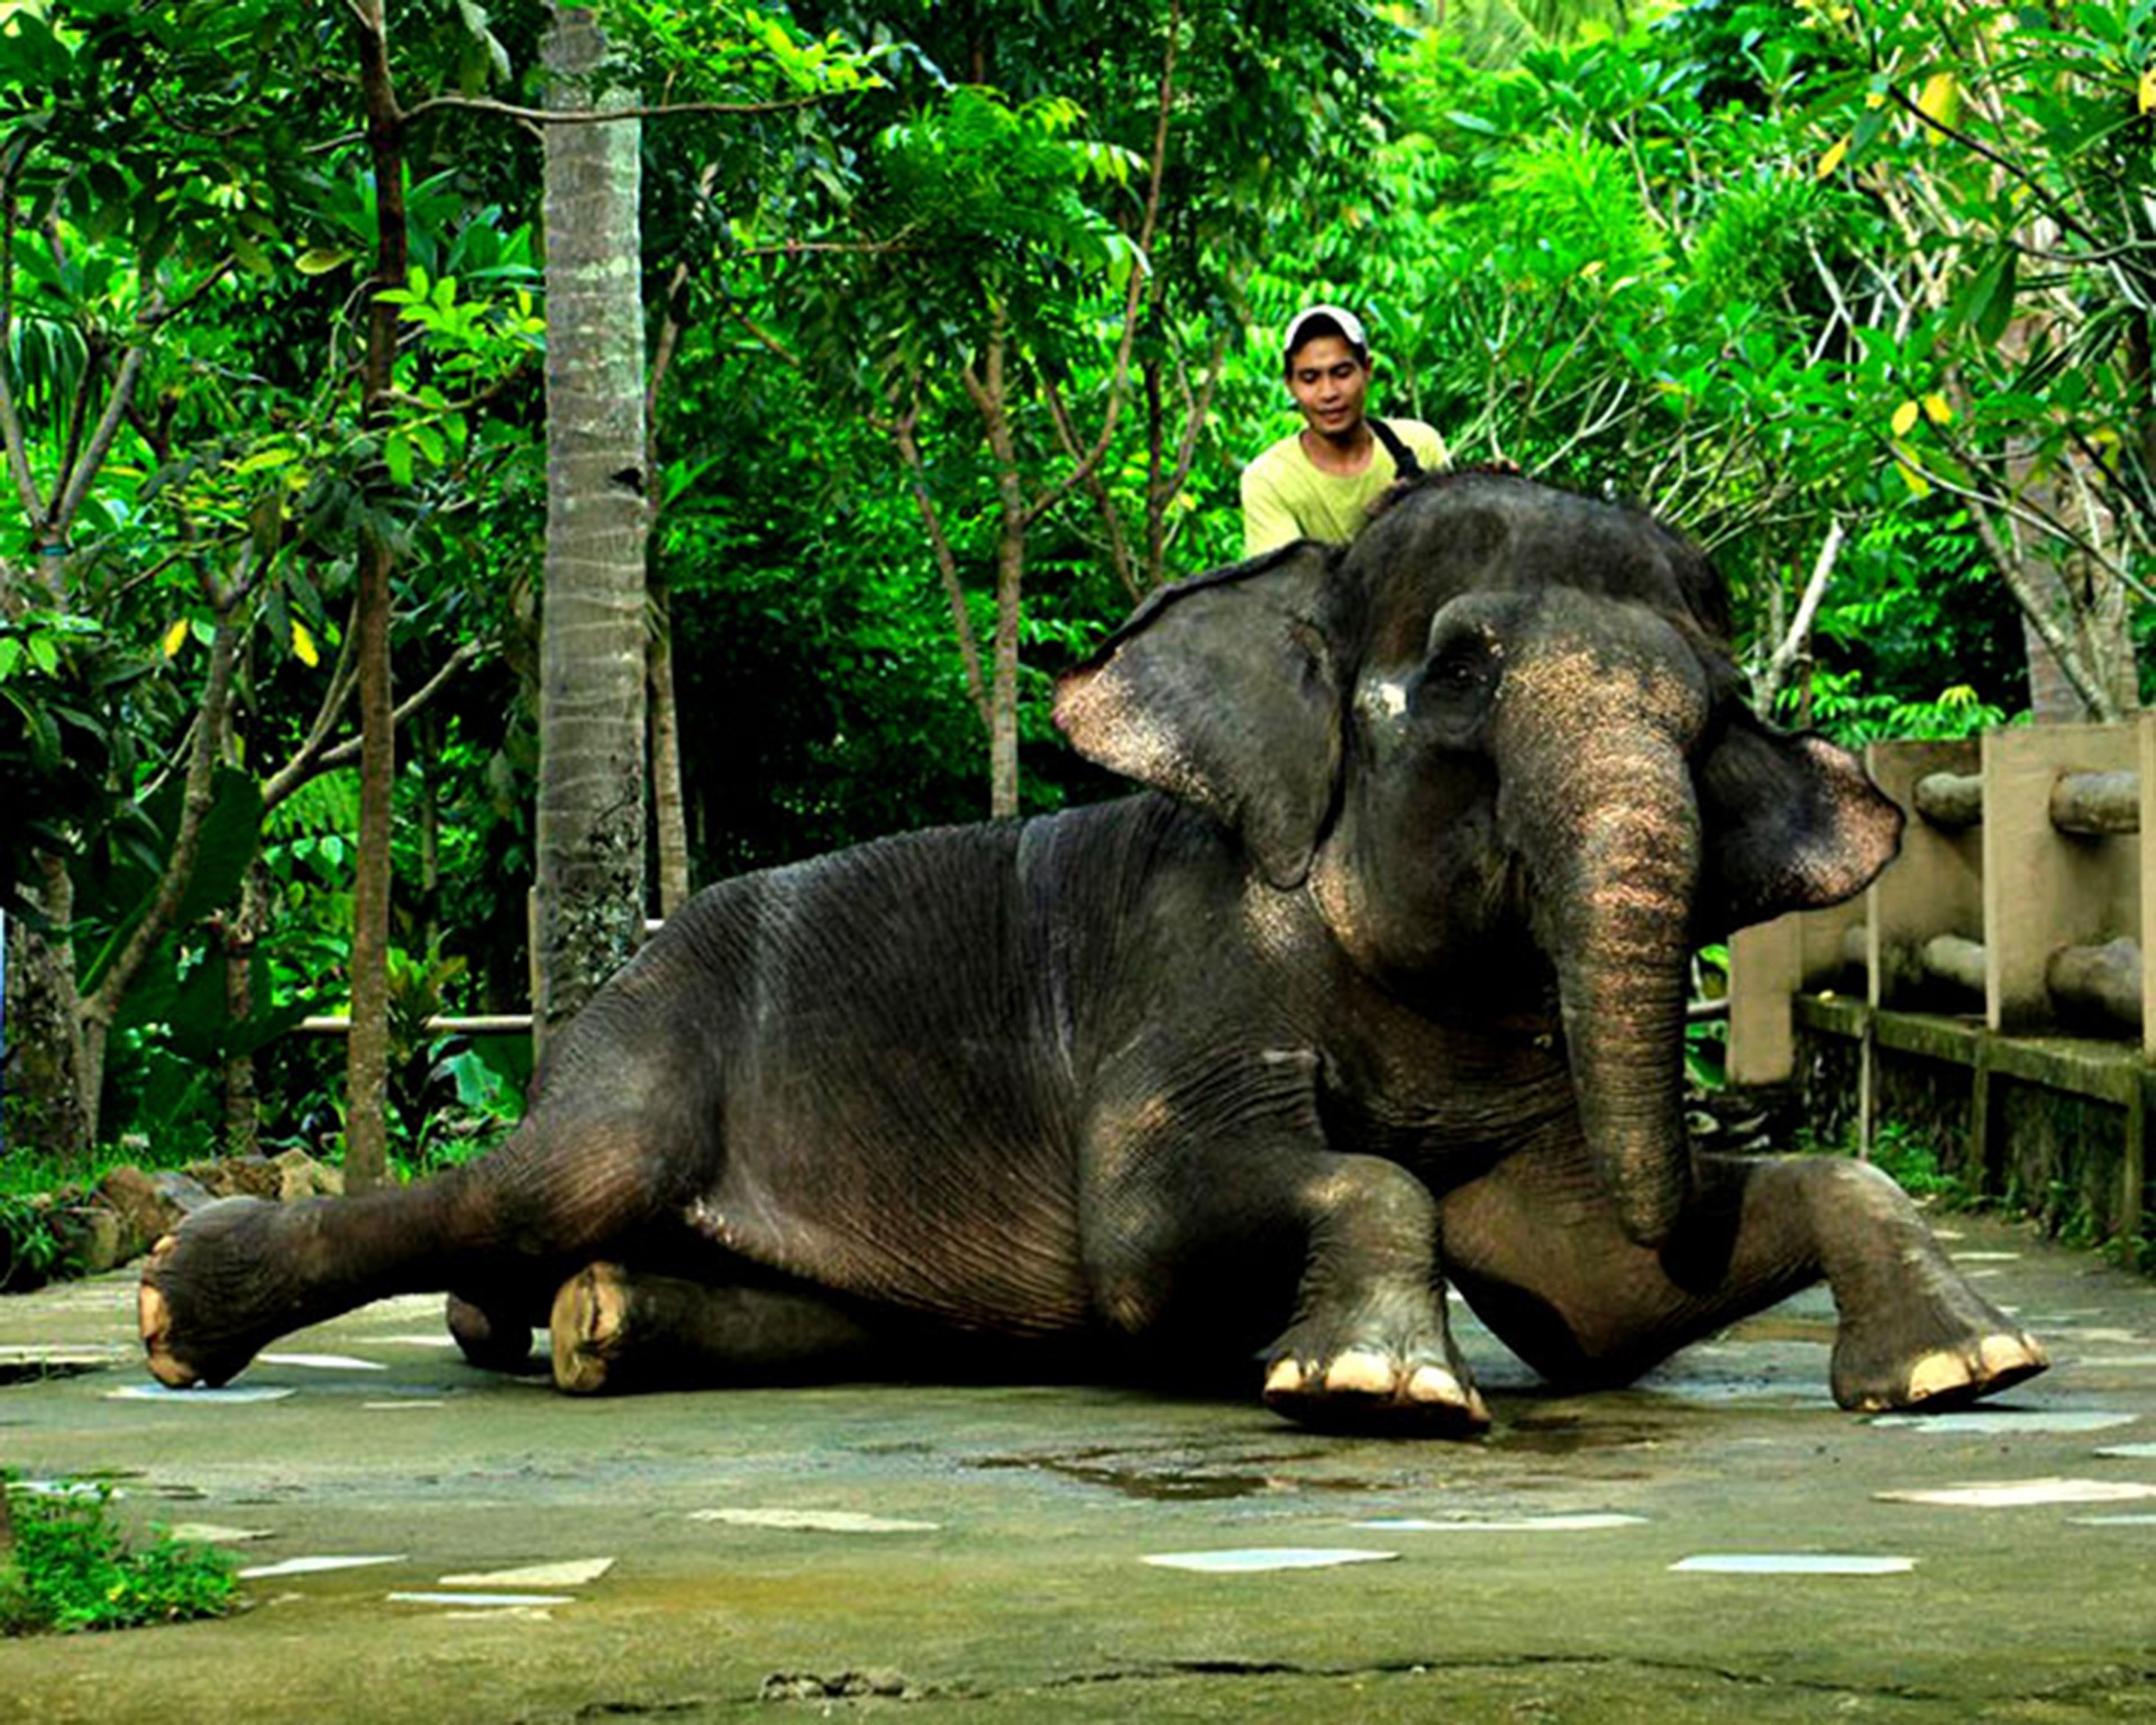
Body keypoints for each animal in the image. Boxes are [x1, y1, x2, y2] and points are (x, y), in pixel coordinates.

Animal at [139, 471, 2046, 1435]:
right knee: (562, 1178)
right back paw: (181, 1305)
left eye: (1720, 714)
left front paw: (1968, 1370)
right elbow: (1163, 1230)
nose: (1732, 1118)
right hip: (643, 1035)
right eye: (1458, 675)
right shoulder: (1187, 969)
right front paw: (1374, 1387)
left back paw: (599, 1325)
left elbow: (1579, 1291)